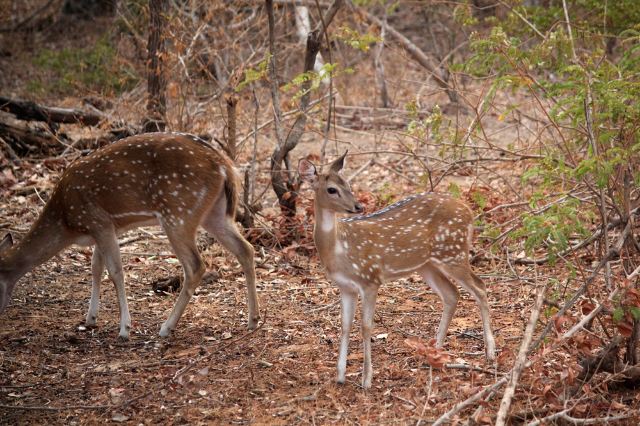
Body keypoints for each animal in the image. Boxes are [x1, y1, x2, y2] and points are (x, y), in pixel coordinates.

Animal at [0, 133, 260, 340]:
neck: (66, 222)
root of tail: (224, 165)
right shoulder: (104, 229)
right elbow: (96, 268)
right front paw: (90, 318)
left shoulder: (99, 222)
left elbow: (115, 272)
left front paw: (124, 328)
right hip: (214, 214)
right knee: (246, 249)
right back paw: (253, 320)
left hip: (178, 214)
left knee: (196, 266)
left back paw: (166, 327)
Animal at [298, 154, 496, 390]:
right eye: (332, 189)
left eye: (348, 185)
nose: (358, 206)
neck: (339, 249)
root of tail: (469, 211)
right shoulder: (345, 287)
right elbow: (345, 326)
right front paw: (340, 376)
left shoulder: (370, 278)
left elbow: (366, 327)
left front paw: (366, 379)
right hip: (427, 265)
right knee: (452, 294)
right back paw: (435, 352)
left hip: (453, 254)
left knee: (480, 287)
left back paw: (490, 352)